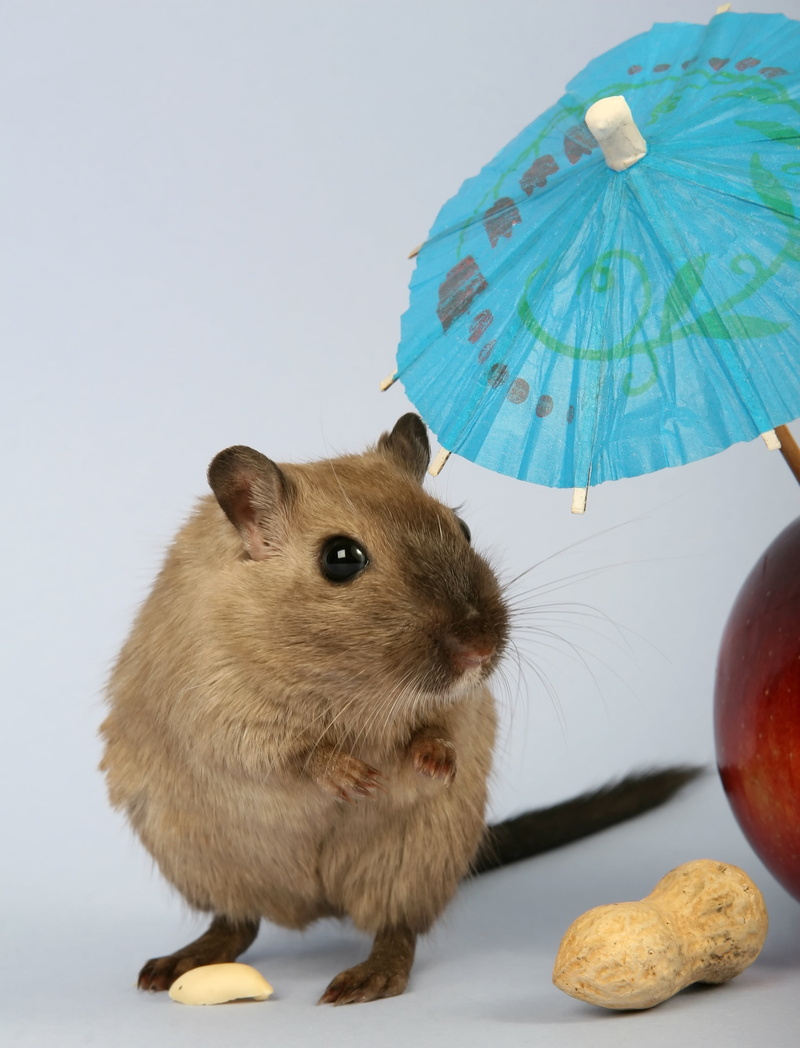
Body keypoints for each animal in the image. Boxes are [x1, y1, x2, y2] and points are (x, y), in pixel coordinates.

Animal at [99, 414, 696, 1005]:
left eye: (462, 528)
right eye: (340, 559)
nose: (480, 650)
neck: (349, 682)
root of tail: (313, 908)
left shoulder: (460, 706)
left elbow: (440, 728)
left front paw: (435, 762)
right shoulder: (222, 710)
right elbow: (288, 753)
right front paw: (356, 778)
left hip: (414, 861)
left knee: (397, 928)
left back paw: (366, 980)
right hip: (209, 864)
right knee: (238, 922)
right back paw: (172, 966)